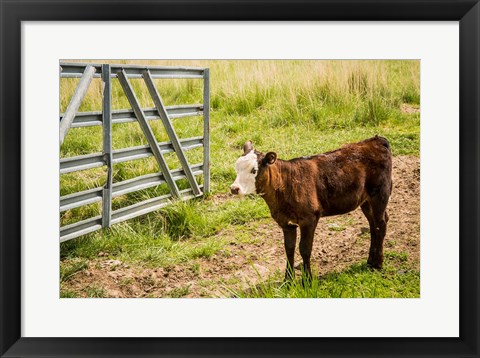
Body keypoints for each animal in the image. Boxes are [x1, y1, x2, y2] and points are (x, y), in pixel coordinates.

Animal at [231, 136, 392, 282]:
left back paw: (378, 263)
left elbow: (305, 249)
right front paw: (287, 281)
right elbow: (289, 249)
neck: (286, 184)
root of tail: (376, 140)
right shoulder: (286, 222)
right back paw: (370, 261)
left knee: (381, 225)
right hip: (365, 201)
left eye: (254, 170)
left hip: (380, 194)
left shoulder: (309, 219)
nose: (234, 188)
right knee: (373, 226)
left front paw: (307, 280)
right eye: (236, 168)